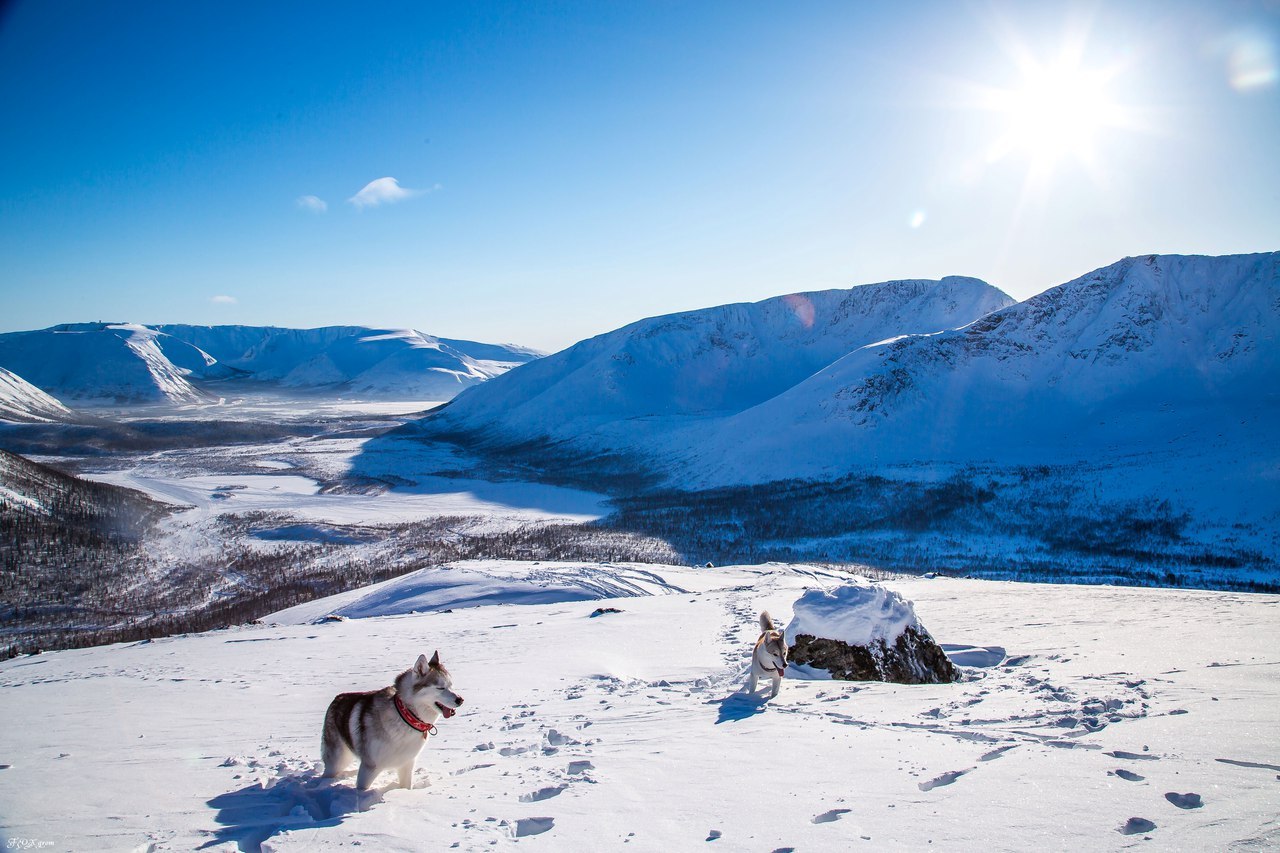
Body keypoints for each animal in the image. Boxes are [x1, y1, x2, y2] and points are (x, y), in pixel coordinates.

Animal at [320, 650, 465, 788]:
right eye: (440, 688)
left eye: (451, 685)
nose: (460, 699)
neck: (406, 715)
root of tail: (336, 699)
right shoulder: (368, 768)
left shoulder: (407, 764)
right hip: (336, 761)